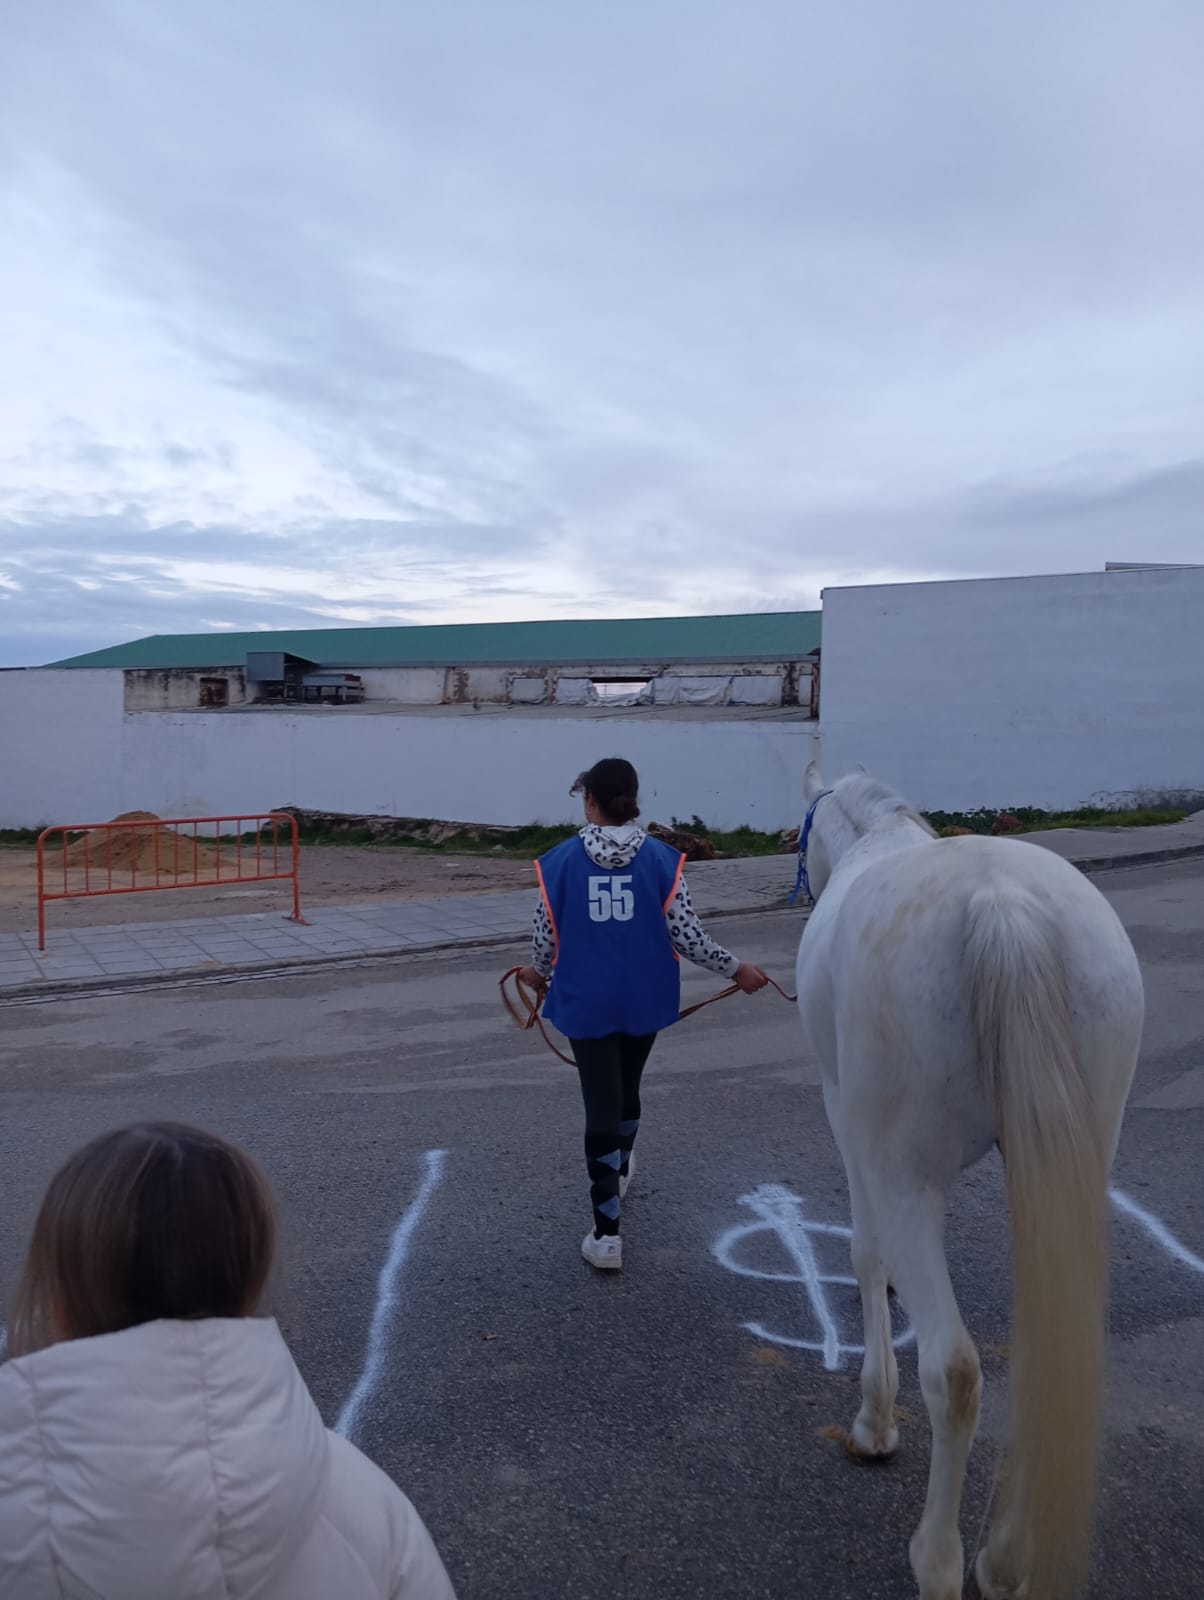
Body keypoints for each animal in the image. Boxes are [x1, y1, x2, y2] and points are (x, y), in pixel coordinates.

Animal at [794, 762, 1144, 1600]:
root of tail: (1004, 903)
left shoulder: (848, 1122)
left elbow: (865, 1255)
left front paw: (874, 1423)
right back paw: (1006, 1559)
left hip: (907, 1172)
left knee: (953, 1371)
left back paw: (942, 1560)